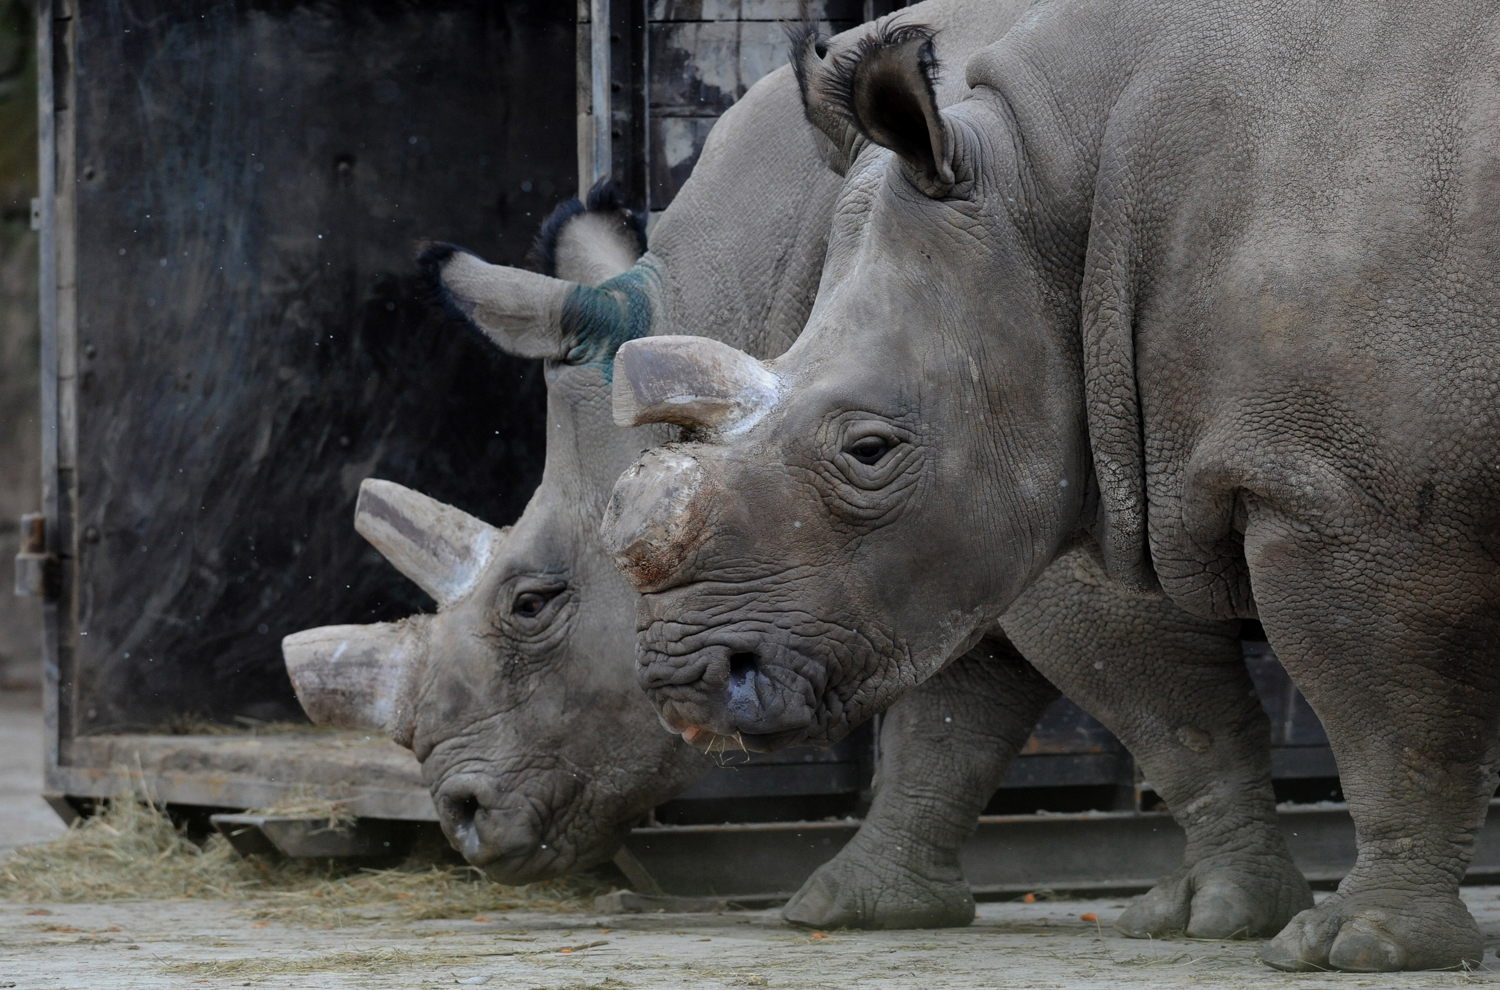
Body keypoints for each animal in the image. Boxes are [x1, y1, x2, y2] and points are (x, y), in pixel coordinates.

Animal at [288, 0, 1310, 937]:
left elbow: (1169, 712)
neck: (751, 303)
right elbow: (950, 723)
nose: (460, 817)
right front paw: (859, 905)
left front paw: (1226, 914)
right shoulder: (938, 520)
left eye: (531, 604)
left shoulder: (1022, 483)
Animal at [601, 2, 1500, 972]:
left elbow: (1389, 724)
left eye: (870, 451)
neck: (1045, 194)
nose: (681, 683)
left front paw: (1360, 945)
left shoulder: (1351, 497)